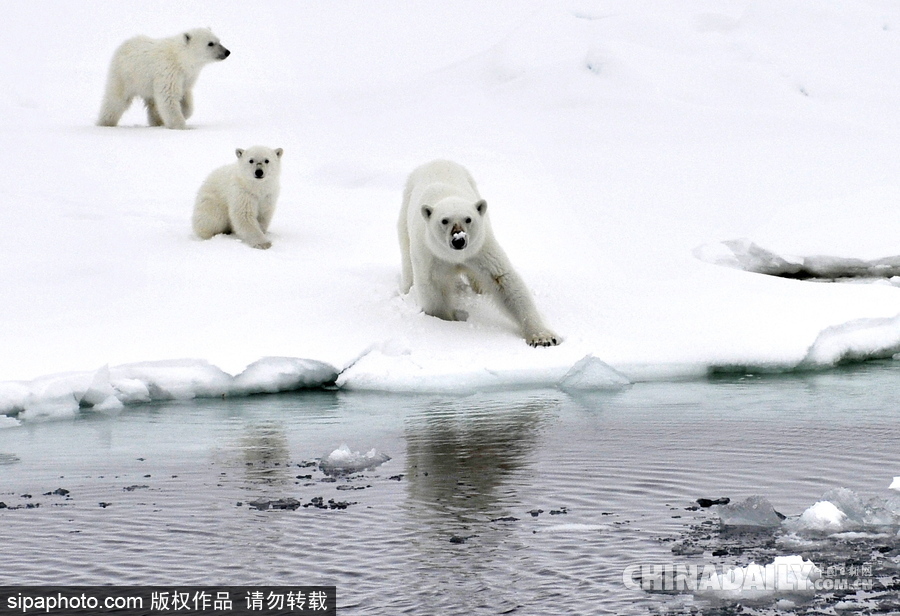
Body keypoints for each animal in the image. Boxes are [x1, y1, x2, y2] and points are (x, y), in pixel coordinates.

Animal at [97, 28, 230, 129]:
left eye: (219, 40)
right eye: (210, 43)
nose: (227, 52)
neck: (180, 58)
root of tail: (123, 45)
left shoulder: (186, 76)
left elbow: (186, 97)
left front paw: (183, 114)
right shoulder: (169, 71)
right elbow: (168, 96)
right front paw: (181, 126)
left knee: (152, 103)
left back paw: (157, 121)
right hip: (124, 75)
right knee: (115, 100)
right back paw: (105, 123)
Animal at [400, 160, 560, 346]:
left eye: (468, 219)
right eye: (444, 220)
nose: (459, 240)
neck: (454, 256)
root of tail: (437, 161)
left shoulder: (480, 249)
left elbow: (503, 281)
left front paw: (543, 337)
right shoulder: (430, 255)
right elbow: (433, 287)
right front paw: (447, 323)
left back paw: (480, 289)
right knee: (407, 258)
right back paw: (407, 288)